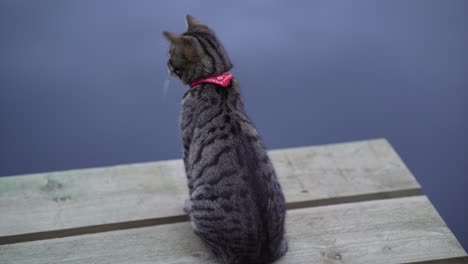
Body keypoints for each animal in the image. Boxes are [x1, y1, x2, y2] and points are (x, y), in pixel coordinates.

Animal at [165, 14, 288, 264]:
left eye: (170, 55)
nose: (165, 65)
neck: (215, 76)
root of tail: (259, 253)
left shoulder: (186, 145)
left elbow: (188, 178)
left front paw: (186, 204)